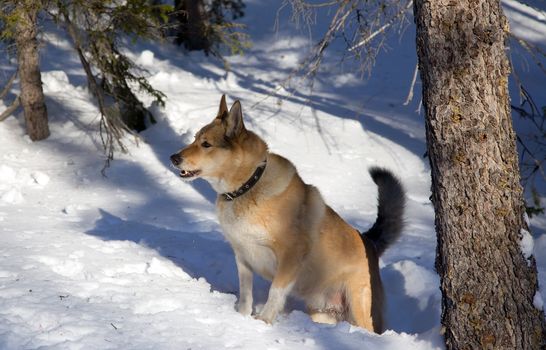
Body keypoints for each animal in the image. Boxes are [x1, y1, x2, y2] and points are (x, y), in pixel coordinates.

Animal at [170, 95, 404, 334]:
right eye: (195, 139)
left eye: (206, 144)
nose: (173, 158)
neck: (248, 187)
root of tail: (370, 242)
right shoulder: (243, 256)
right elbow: (245, 293)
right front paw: (242, 317)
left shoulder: (290, 255)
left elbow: (275, 291)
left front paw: (263, 322)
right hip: (323, 312)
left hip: (360, 308)